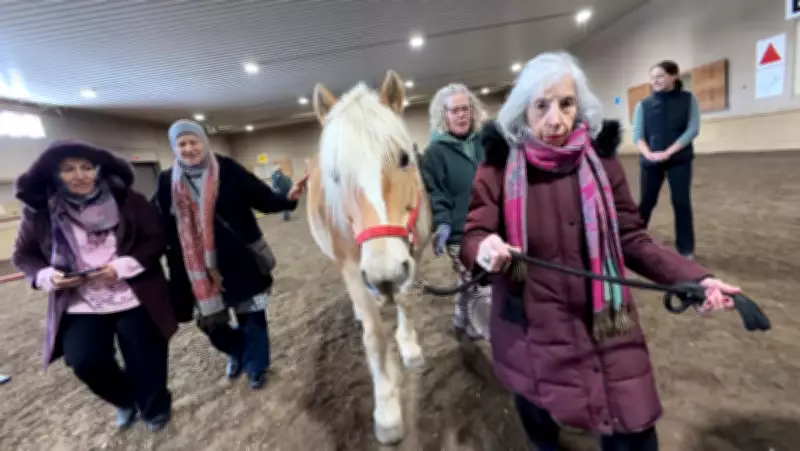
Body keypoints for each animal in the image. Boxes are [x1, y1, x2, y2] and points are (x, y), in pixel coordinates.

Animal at [305, 69, 433, 445]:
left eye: (404, 158)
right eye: (335, 175)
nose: (384, 275)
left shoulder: (412, 256)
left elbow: (406, 301)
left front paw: (409, 346)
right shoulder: (354, 270)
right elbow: (375, 339)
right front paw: (387, 410)